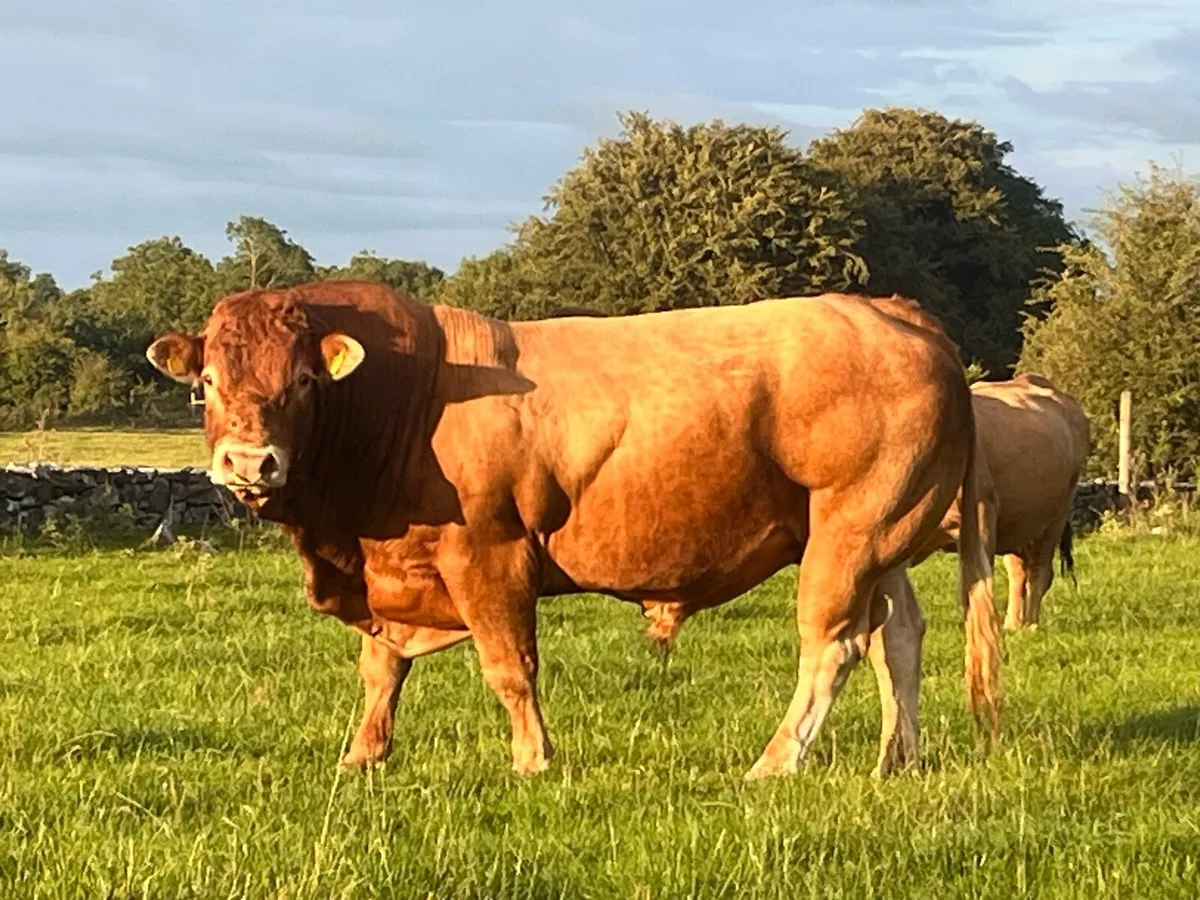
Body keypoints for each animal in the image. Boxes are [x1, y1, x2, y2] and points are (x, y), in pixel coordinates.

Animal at [146, 281, 997, 780]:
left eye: (301, 381)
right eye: (209, 381)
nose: (249, 463)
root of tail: (889, 308)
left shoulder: (487, 556)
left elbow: (508, 668)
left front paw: (533, 760)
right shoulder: (393, 568)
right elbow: (381, 668)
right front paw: (364, 754)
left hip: (849, 532)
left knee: (835, 645)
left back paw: (776, 762)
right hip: (885, 536)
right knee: (899, 636)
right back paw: (898, 756)